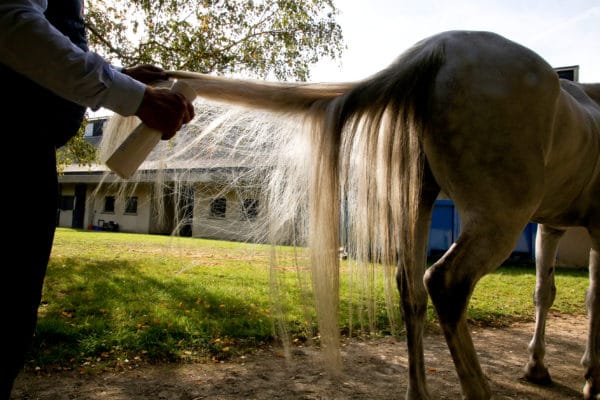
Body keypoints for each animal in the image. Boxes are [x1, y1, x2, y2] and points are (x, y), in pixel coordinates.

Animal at [101, 29, 596, 398]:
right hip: (498, 213)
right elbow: (591, 299)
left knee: (412, 286)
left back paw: (419, 392)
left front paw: (539, 367)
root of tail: (441, 46)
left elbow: (546, 292)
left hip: (420, 196)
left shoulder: (551, 226)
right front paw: (588, 376)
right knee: (445, 282)